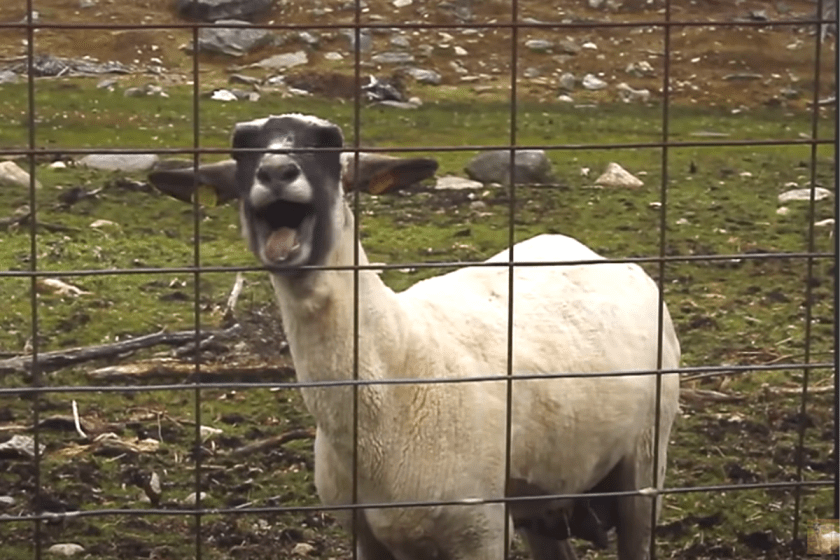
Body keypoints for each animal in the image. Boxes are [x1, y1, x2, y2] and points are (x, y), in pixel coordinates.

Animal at [148, 113, 682, 560]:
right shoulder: (366, 534)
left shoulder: (481, 530)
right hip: (544, 492)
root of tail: (588, 250)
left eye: (329, 142)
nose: (277, 172)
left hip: (646, 460)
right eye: (242, 148)